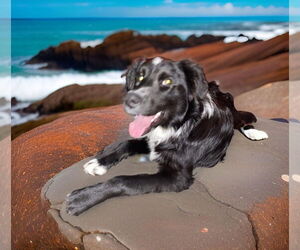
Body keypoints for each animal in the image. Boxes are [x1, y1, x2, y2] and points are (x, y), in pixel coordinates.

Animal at [65, 56, 268, 215]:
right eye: (140, 76)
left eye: (167, 82)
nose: (129, 100)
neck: (177, 125)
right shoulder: (150, 142)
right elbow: (126, 143)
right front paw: (99, 162)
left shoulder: (178, 177)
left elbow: (124, 180)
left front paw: (82, 198)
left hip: (231, 107)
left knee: (241, 119)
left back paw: (255, 132)